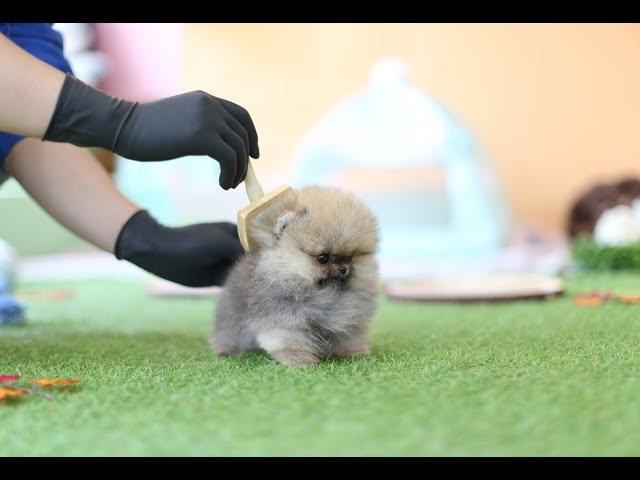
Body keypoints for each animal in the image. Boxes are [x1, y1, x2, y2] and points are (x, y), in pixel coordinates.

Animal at [210, 186, 380, 366]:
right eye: (323, 258)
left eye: (351, 257)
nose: (343, 269)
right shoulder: (285, 318)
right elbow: (291, 341)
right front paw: (300, 360)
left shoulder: (347, 320)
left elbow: (348, 337)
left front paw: (354, 354)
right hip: (231, 319)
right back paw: (228, 351)